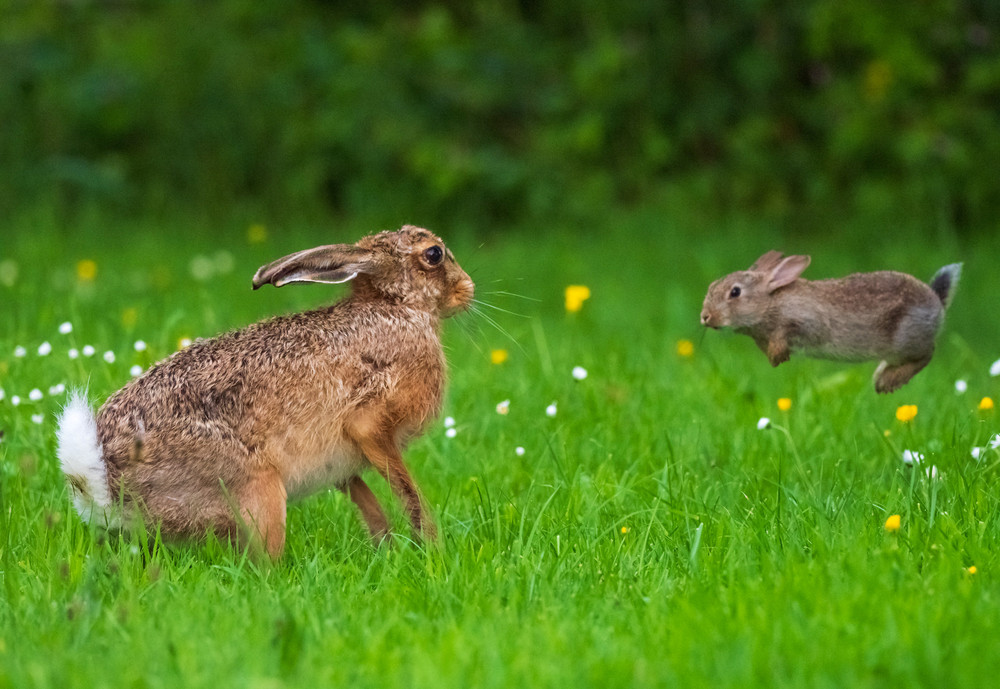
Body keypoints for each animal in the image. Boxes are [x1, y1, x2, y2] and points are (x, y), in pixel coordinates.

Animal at [56, 226, 474, 560]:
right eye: (433, 254)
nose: (468, 289)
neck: (396, 307)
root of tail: (105, 482)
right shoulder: (369, 424)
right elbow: (407, 491)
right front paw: (430, 547)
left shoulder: (345, 460)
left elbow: (365, 497)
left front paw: (387, 549)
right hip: (260, 492)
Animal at [700, 251, 956, 392]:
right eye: (712, 286)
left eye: (735, 292)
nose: (705, 317)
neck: (770, 302)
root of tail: (936, 302)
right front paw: (776, 359)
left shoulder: (806, 321)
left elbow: (788, 333)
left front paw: (778, 355)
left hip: (906, 338)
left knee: (927, 353)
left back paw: (887, 383)